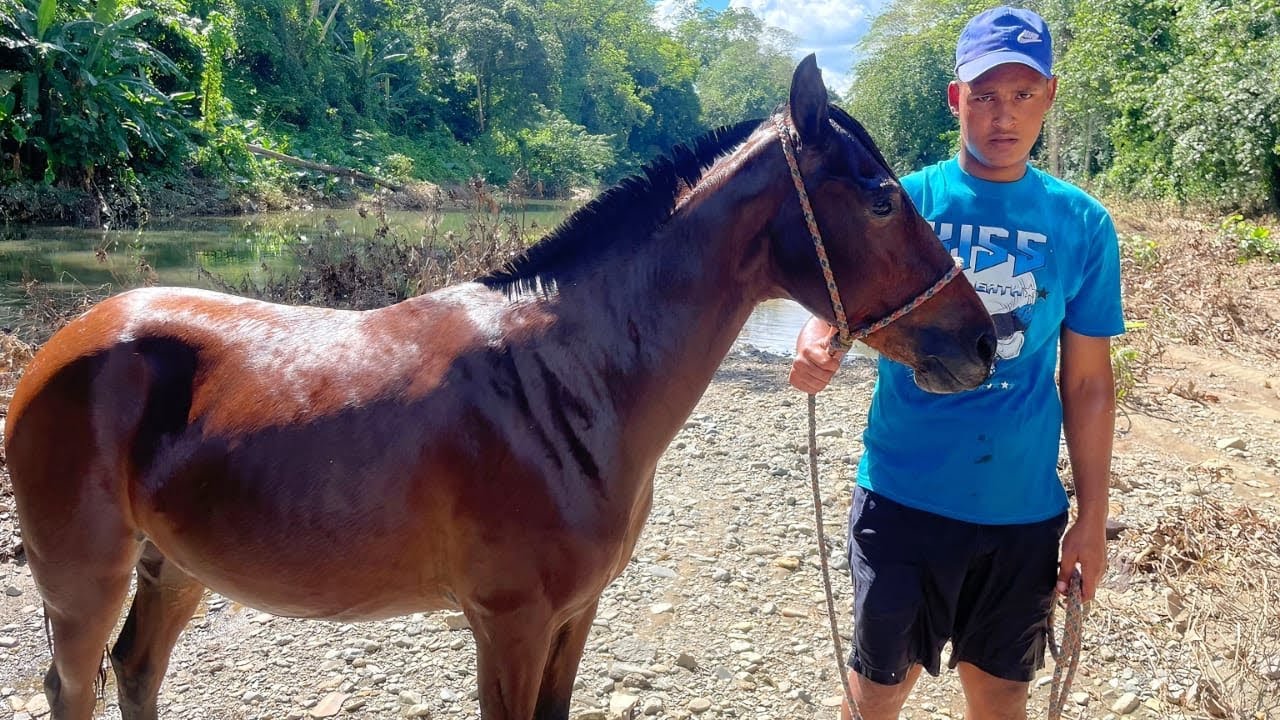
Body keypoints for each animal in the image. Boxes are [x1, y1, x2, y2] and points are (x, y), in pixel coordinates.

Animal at [5, 56, 996, 720]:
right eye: (880, 197)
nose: (982, 341)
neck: (569, 383)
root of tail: (65, 342)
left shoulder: (573, 617)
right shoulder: (509, 624)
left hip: (174, 568)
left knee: (137, 671)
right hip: (83, 578)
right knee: (76, 684)